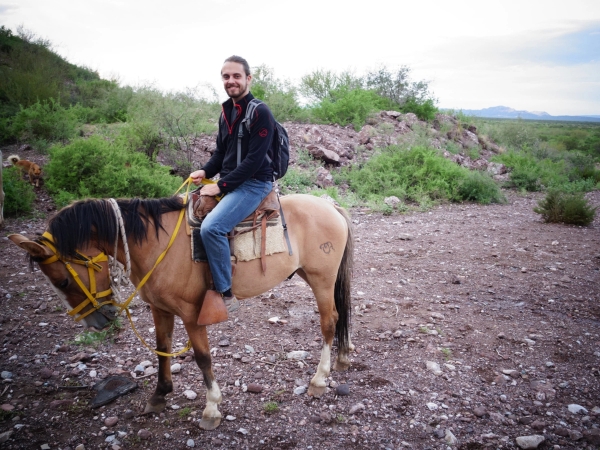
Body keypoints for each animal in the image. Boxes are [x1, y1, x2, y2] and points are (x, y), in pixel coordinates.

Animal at [8, 193, 354, 430]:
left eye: (63, 280)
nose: (97, 322)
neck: (155, 245)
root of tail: (331, 207)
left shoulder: (191, 313)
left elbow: (202, 357)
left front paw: (212, 409)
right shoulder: (160, 309)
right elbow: (162, 349)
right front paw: (159, 396)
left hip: (322, 280)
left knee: (329, 322)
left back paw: (319, 379)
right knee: (340, 318)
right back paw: (343, 357)